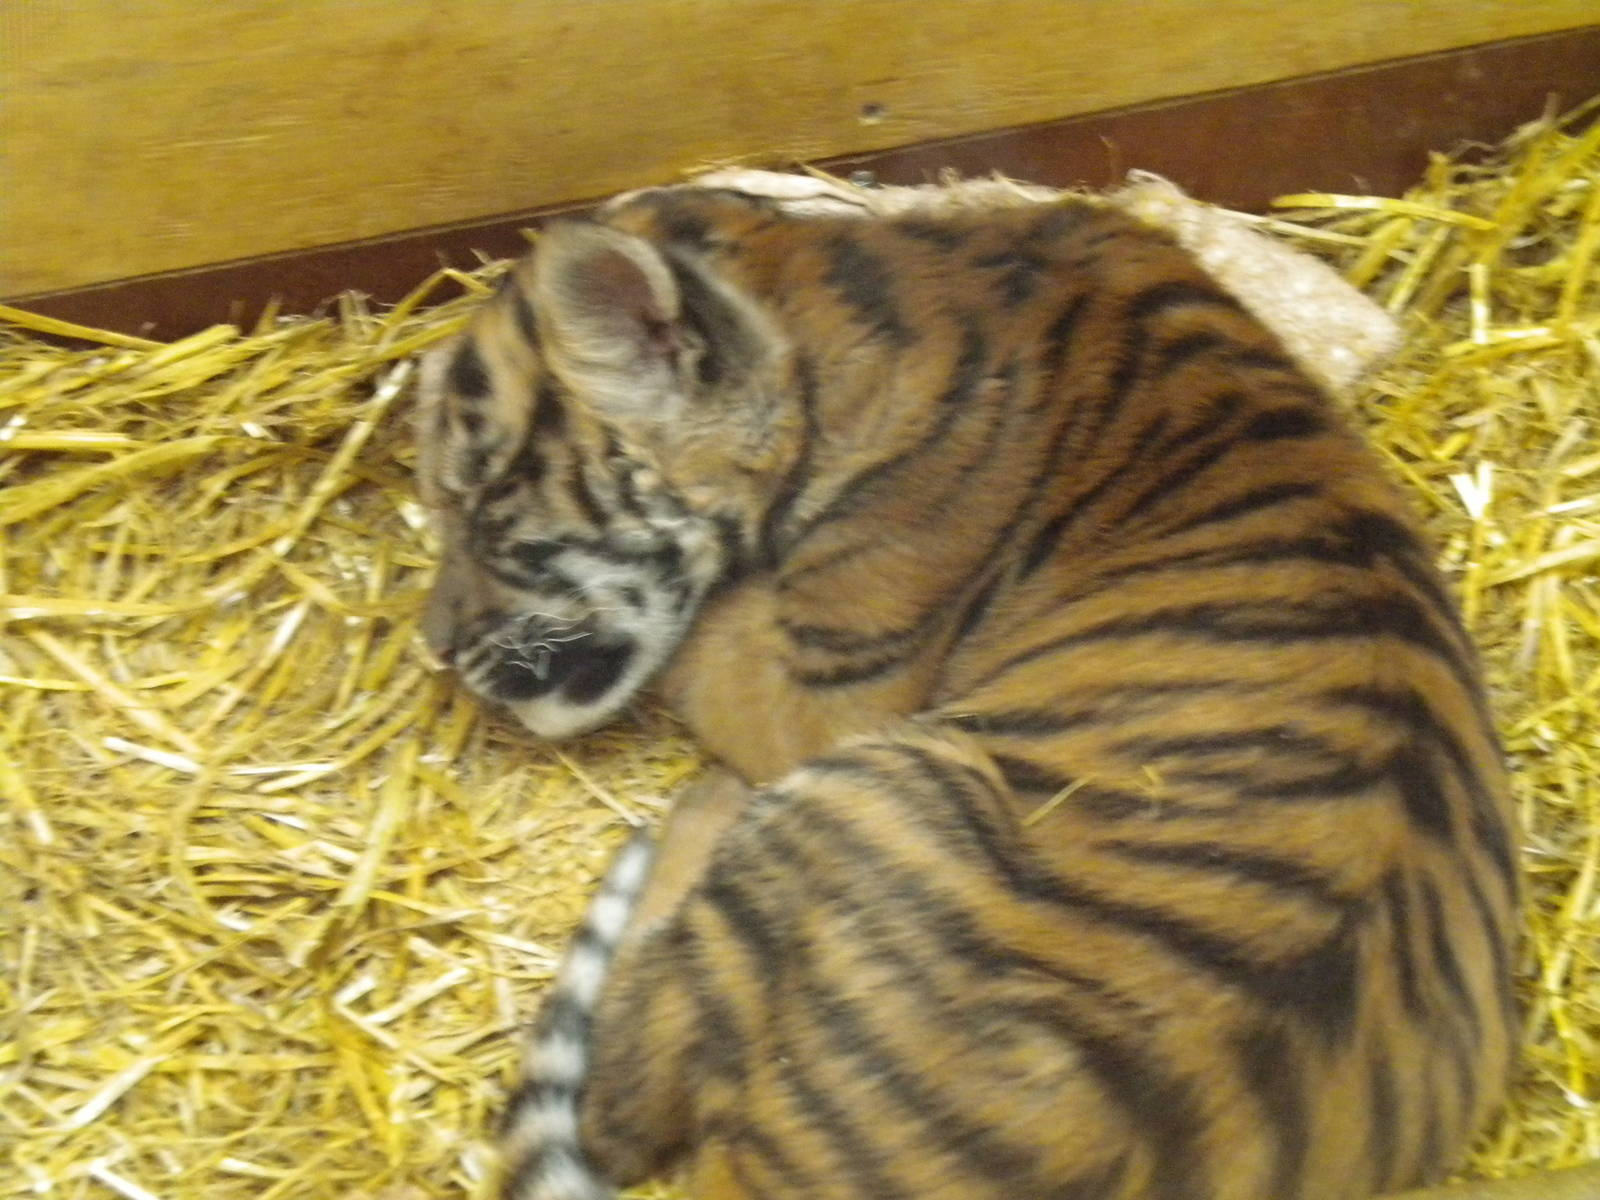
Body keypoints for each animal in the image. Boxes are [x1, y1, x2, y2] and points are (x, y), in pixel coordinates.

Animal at [412, 179, 1572, 1200]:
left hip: (878, 774)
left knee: (613, 1092)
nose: (432, 646)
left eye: (477, 500)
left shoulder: (820, 687)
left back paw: (694, 819)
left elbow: (703, 638)